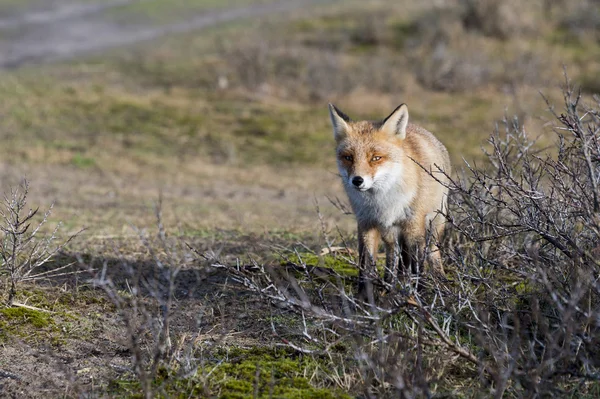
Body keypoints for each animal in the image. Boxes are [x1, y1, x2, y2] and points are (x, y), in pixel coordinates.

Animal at [328, 104, 450, 298]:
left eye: (376, 158)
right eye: (348, 157)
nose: (357, 181)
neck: (382, 202)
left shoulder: (414, 226)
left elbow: (418, 266)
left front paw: (420, 295)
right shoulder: (366, 223)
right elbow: (366, 263)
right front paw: (364, 296)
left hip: (434, 224)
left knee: (432, 254)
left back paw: (440, 282)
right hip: (390, 232)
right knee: (393, 256)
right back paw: (389, 285)